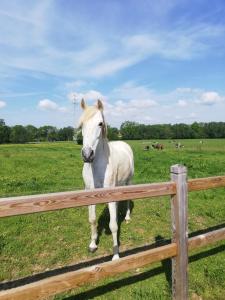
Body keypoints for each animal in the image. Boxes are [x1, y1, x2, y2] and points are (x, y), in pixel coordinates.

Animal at [79, 99, 134, 260]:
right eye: (81, 125)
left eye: (100, 123)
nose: (87, 155)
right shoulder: (90, 193)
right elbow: (92, 220)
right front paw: (92, 245)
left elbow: (113, 225)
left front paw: (116, 256)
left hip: (129, 182)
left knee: (127, 200)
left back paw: (127, 217)